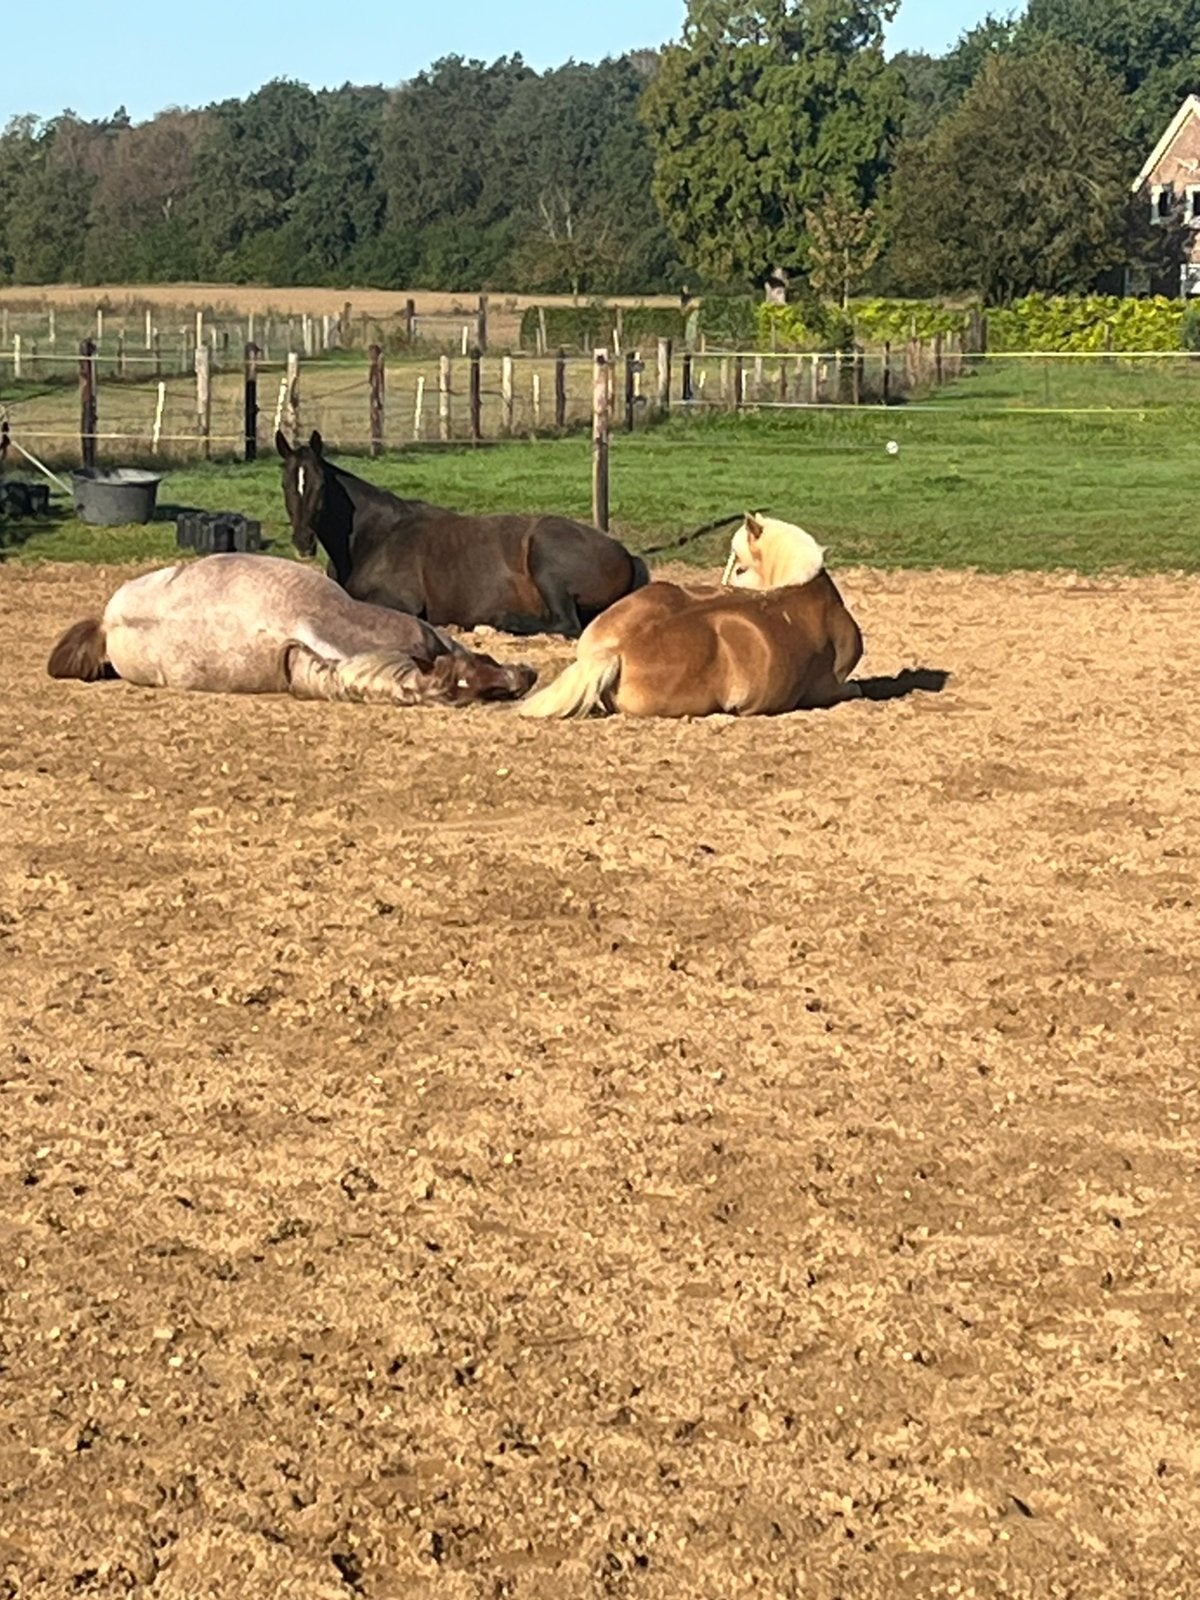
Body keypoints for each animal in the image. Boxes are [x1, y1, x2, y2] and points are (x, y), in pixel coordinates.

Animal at [276, 430, 649, 637]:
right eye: (285, 484)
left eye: (320, 486)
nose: (302, 543)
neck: (374, 537)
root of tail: (624, 553)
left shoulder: (399, 601)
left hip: (545, 558)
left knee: (566, 624)